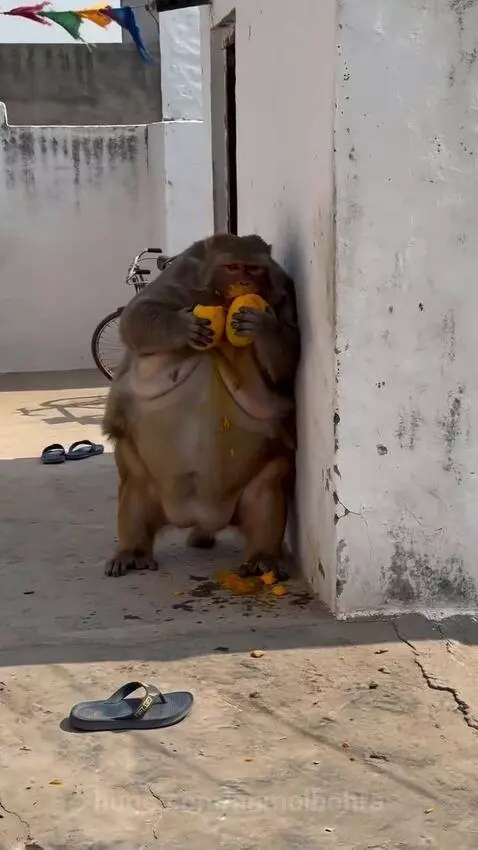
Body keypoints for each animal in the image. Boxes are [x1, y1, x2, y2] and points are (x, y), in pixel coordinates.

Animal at [102, 233, 300, 580]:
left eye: (254, 268)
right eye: (233, 267)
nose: (245, 281)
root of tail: (200, 515)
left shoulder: (282, 292)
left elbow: (287, 358)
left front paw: (261, 325)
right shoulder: (182, 277)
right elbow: (137, 315)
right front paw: (186, 327)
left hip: (254, 485)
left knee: (269, 488)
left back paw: (263, 556)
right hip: (143, 474)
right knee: (134, 490)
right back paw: (132, 551)